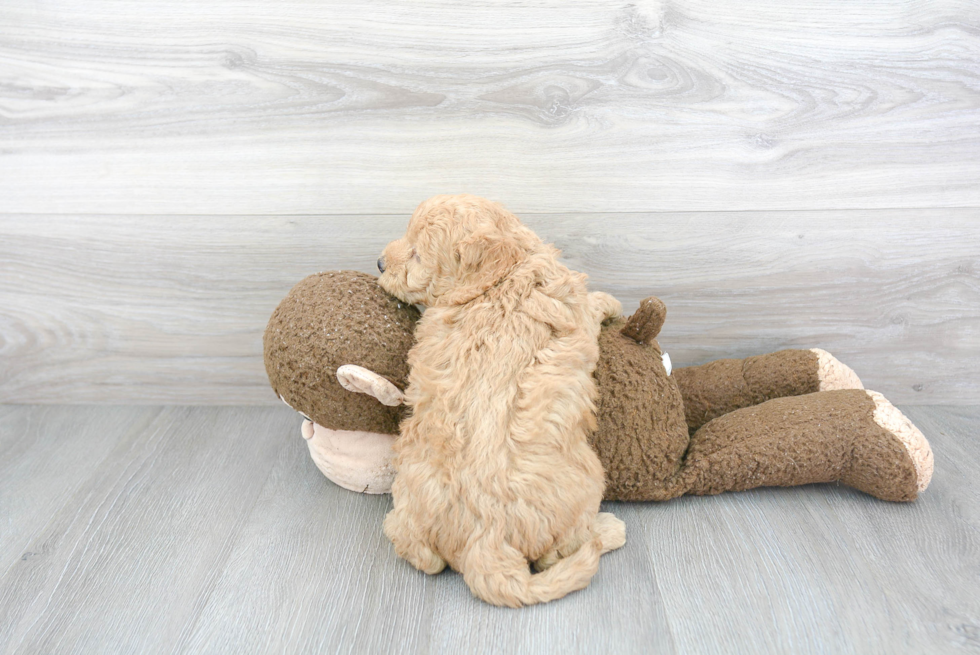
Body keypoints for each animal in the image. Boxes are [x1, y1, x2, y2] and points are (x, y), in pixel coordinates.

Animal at [378, 195, 624, 608]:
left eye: (416, 253)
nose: (380, 263)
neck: (501, 278)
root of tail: (485, 541)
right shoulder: (574, 311)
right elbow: (590, 307)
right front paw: (610, 301)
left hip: (405, 505)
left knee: (421, 555)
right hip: (588, 481)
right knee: (560, 552)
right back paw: (607, 531)